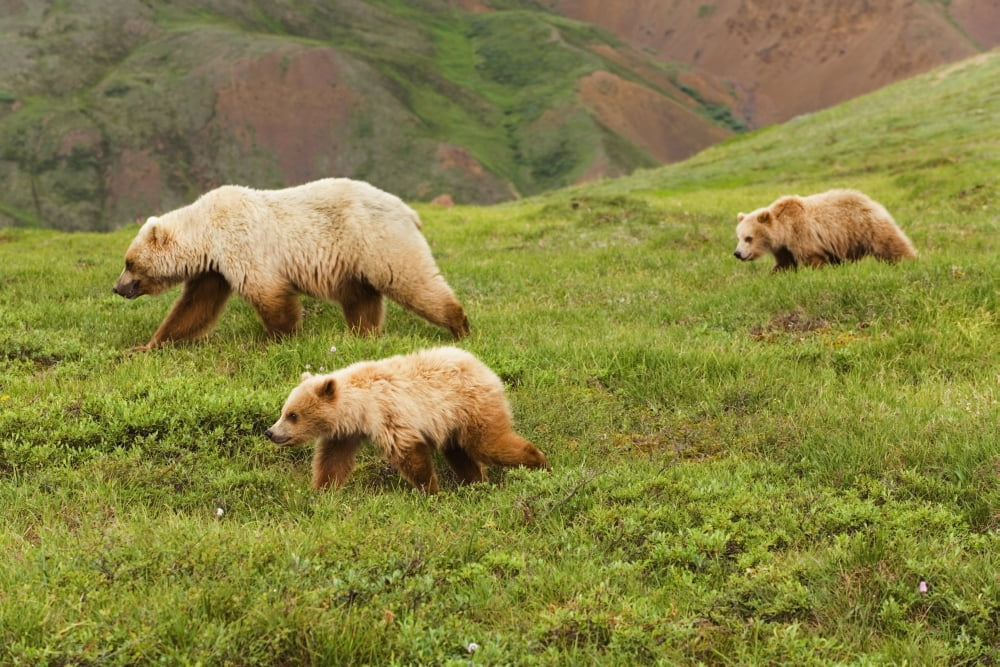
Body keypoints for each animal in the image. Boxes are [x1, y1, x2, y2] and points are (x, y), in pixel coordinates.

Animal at [113, 178, 470, 351]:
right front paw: (146, 345)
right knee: (362, 299)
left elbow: (269, 293)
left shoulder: (242, 245)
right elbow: (194, 307)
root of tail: (408, 210)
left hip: (378, 241)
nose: (117, 288)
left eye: (129, 262)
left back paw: (459, 326)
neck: (207, 233)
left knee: (412, 281)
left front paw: (278, 338)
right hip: (354, 264)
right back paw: (363, 334)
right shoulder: (214, 269)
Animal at [265, 346, 549, 494]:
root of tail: (484, 367)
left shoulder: (389, 415)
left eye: (293, 415)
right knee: (459, 452)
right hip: (452, 423)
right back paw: (475, 482)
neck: (360, 407)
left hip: (471, 407)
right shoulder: (345, 433)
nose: (270, 432)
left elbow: (410, 454)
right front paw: (322, 490)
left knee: (488, 443)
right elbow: (332, 461)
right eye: (284, 410)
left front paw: (431, 491)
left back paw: (539, 461)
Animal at [733, 189, 917, 272]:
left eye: (748, 238)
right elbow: (785, 264)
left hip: (865, 227)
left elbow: (812, 259)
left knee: (890, 245)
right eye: (738, 237)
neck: (784, 231)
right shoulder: (784, 248)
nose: (737, 253)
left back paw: (909, 260)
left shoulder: (802, 235)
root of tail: (870, 201)